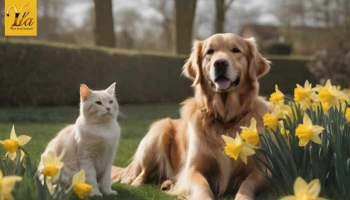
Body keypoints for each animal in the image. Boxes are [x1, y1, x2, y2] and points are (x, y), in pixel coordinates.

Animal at [111, 33, 270, 199]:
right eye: (210, 51)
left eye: (236, 50)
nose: (220, 63)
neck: (225, 119)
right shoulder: (192, 170)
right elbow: (203, 187)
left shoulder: (260, 172)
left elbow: (246, 185)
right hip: (159, 131)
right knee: (139, 175)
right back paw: (140, 183)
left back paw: (167, 184)